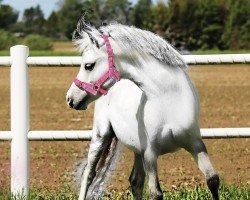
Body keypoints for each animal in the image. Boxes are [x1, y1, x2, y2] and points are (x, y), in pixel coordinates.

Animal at [66, 19, 219, 200]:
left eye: (88, 66)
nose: (70, 99)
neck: (168, 100)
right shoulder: (150, 153)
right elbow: (155, 193)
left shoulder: (195, 143)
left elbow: (212, 179)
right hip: (101, 135)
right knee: (89, 174)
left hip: (137, 149)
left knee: (135, 181)